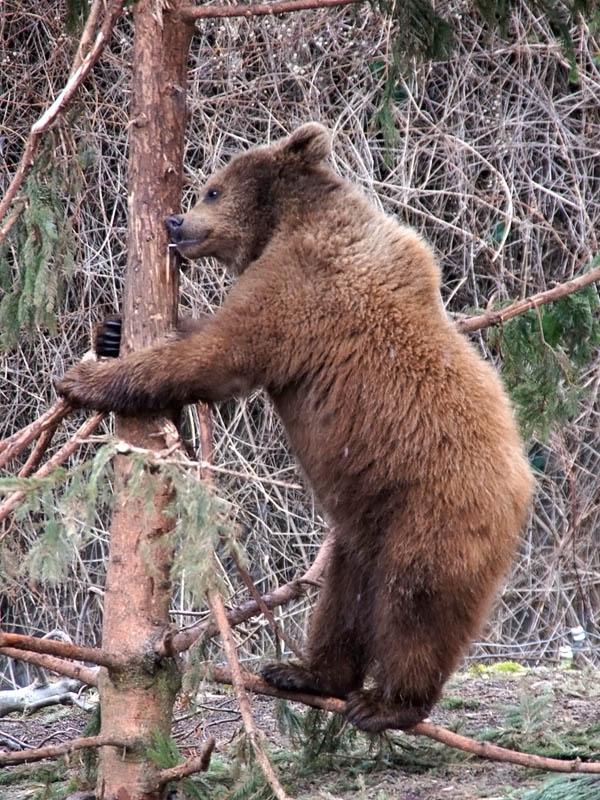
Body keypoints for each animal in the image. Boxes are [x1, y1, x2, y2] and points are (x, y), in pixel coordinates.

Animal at [57, 123, 536, 732]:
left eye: (212, 190)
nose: (174, 223)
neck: (289, 223)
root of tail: (524, 487)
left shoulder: (298, 290)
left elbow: (216, 356)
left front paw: (85, 378)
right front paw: (113, 332)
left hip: (434, 509)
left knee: (414, 600)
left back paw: (388, 703)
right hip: (362, 526)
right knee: (344, 598)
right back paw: (304, 671)